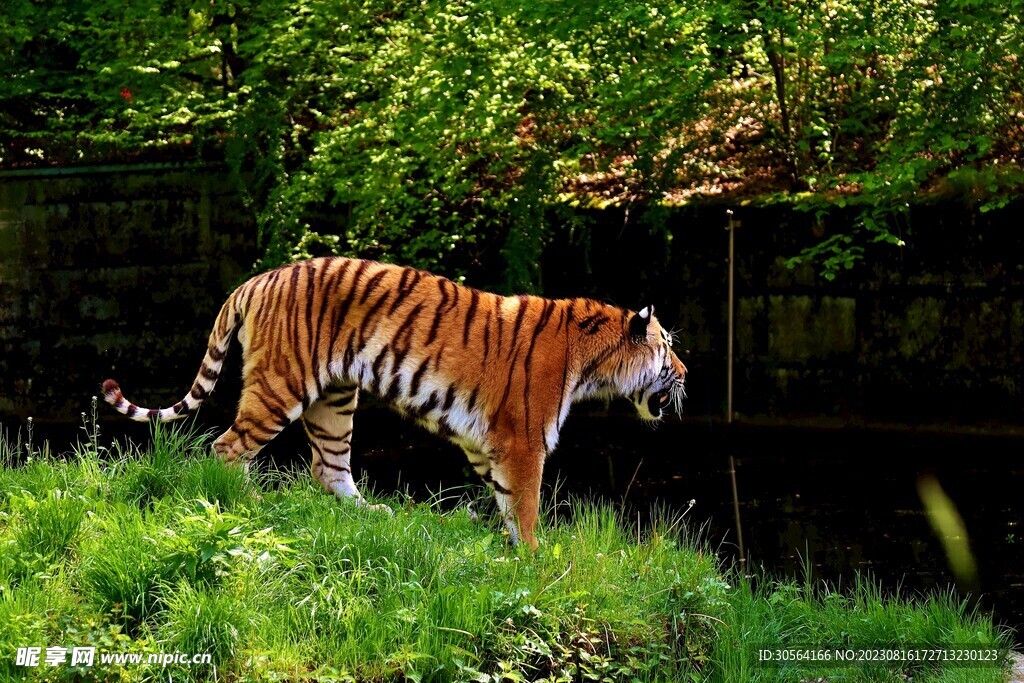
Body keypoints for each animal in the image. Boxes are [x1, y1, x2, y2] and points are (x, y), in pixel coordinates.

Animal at [102, 257, 687, 549]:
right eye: (667, 347)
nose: (686, 374)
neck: (592, 363)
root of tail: (255, 280)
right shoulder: (522, 441)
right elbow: (525, 507)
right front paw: (534, 560)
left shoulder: (488, 444)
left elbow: (504, 502)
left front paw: (512, 551)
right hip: (280, 386)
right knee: (226, 447)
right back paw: (248, 505)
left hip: (336, 399)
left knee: (327, 467)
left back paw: (370, 514)